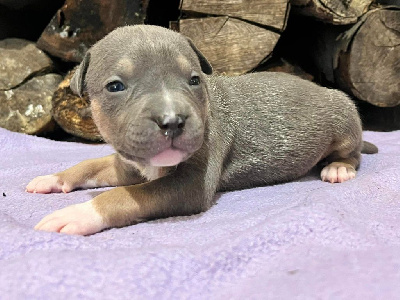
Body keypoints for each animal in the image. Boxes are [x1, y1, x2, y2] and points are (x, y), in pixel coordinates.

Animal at [26, 24, 376, 236]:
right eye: (115, 86)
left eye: (194, 80)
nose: (172, 121)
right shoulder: (128, 163)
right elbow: (90, 164)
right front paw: (53, 179)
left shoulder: (190, 185)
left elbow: (125, 196)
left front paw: (77, 214)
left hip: (344, 118)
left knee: (353, 152)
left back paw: (338, 168)